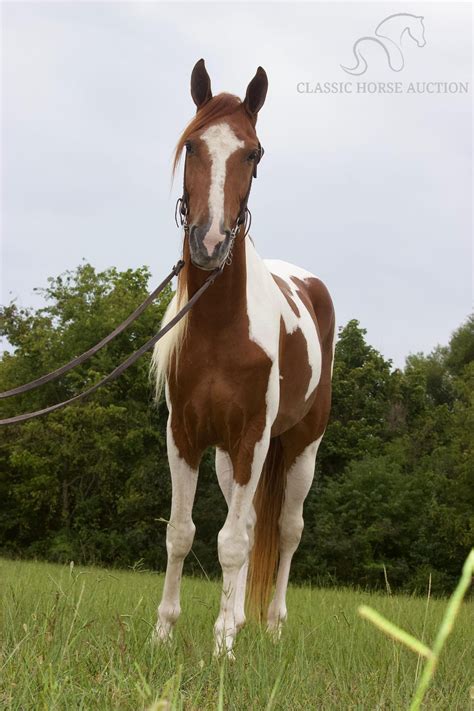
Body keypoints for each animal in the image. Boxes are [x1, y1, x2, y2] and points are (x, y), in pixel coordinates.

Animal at [150, 58, 336, 660]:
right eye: (192, 145)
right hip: (228, 457)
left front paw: (221, 652)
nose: (208, 243)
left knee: (286, 530)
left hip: (300, 447)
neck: (219, 327)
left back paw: (272, 625)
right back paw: (236, 620)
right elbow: (181, 532)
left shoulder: (254, 436)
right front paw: (165, 633)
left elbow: (231, 542)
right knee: (252, 521)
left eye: (253, 153)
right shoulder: (186, 436)